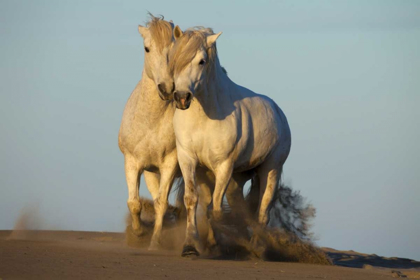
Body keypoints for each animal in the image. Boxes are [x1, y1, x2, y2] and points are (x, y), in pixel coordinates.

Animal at [169, 26, 290, 256]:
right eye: (174, 58)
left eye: (202, 61)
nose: (181, 97)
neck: (204, 117)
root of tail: (279, 112)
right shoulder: (188, 159)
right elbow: (193, 200)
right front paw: (191, 245)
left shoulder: (223, 166)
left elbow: (216, 208)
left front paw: (217, 244)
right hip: (237, 179)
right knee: (238, 206)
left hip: (271, 169)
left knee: (263, 210)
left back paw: (257, 248)